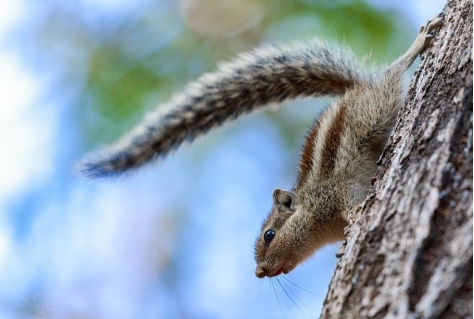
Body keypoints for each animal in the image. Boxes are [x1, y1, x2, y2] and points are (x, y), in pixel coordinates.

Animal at [76, 16, 442, 278]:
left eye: (269, 235)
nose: (259, 272)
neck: (314, 214)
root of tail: (353, 90)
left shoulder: (337, 191)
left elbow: (352, 203)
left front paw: (355, 216)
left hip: (374, 107)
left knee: (392, 73)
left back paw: (421, 40)